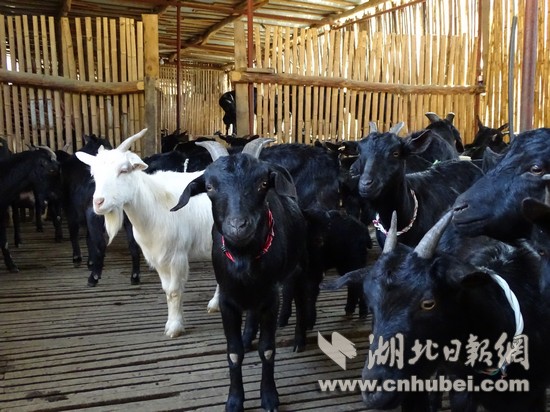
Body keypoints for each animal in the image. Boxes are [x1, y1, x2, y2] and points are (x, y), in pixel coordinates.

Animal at [60, 135, 142, 286]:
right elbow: (88, 238)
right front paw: (90, 262)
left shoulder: (73, 212)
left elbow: (76, 235)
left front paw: (78, 258)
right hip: (128, 219)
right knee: (133, 244)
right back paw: (135, 276)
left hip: (93, 216)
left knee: (101, 245)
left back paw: (94, 277)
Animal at [76, 131, 215, 338]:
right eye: (94, 174)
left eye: (124, 170)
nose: (98, 202)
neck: (157, 202)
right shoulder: (158, 256)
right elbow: (167, 290)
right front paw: (173, 322)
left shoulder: (177, 255)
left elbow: (175, 291)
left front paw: (174, 327)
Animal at [170, 138, 312, 412]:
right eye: (210, 186)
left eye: (263, 183)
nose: (238, 226)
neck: (244, 259)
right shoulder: (227, 299)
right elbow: (234, 352)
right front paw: (235, 400)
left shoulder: (270, 297)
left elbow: (267, 350)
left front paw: (269, 397)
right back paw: (248, 336)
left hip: (298, 267)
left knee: (300, 296)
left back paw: (299, 338)